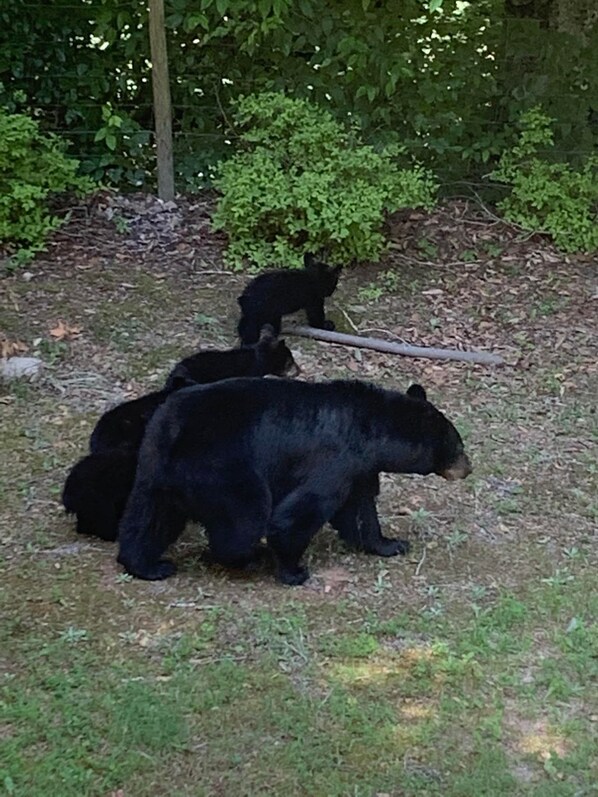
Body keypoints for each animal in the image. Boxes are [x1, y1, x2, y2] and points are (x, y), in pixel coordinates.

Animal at [116, 379, 471, 585]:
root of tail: (172, 429)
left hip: (154, 469)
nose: (469, 467)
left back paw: (148, 565)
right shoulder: (334, 460)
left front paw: (391, 543)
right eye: (458, 445)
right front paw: (294, 570)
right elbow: (301, 512)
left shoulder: (358, 468)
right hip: (220, 466)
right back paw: (250, 557)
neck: (371, 431)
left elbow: (359, 510)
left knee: (148, 518)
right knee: (245, 518)